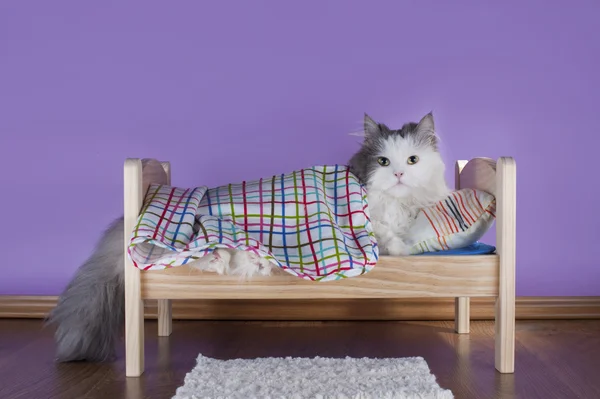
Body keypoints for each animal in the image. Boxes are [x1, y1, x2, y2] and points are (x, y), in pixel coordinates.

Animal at [47, 111, 448, 364]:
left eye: (412, 161)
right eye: (383, 163)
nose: (398, 174)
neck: (399, 203)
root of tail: (150, 195)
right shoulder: (369, 223)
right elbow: (387, 237)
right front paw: (402, 248)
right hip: (199, 226)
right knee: (182, 251)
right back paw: (230, 260)